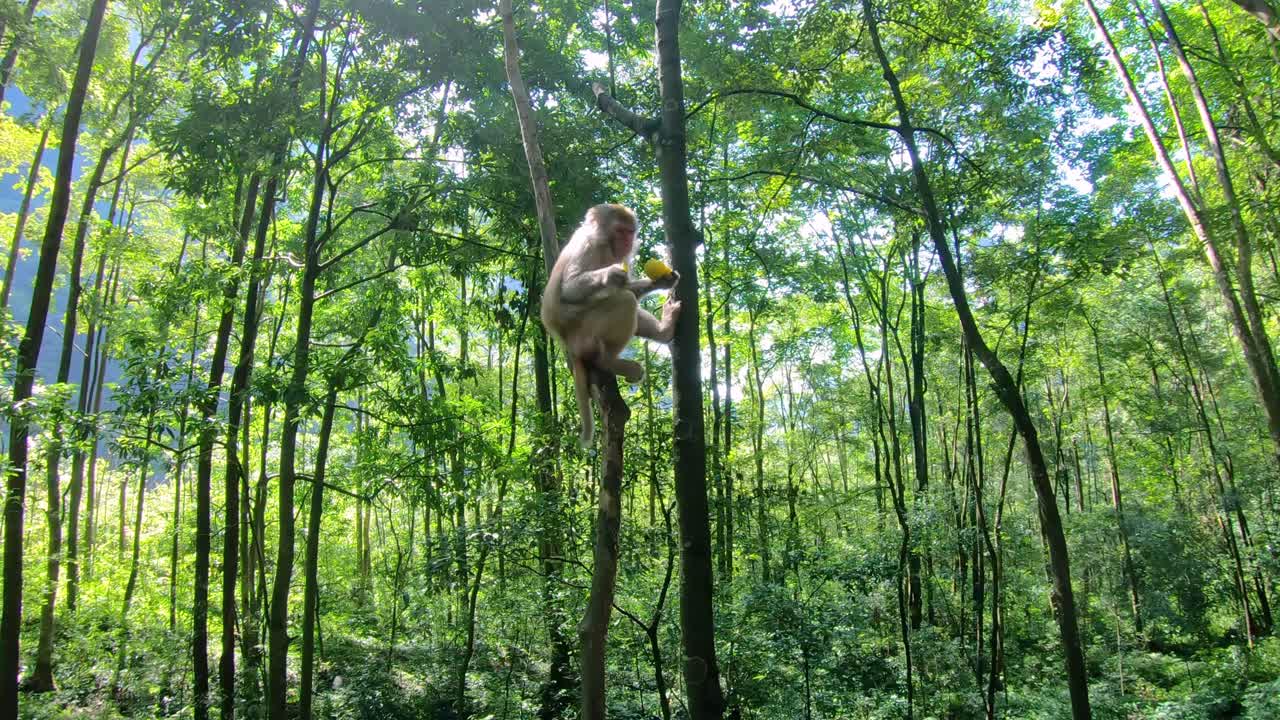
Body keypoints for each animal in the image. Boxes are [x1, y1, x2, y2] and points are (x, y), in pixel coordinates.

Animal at [540, 203, 681, 447]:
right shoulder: (589, 247)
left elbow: (629, 287)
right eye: (620, 231)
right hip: (585, 335)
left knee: (626, 297)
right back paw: (606, 362)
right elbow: (570, 288)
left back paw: (665, 331)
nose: (627, 242)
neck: (604, 242)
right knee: (624, 300)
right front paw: (610, 274)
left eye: (630, 232)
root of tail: (567, 345)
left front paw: (663, 280)